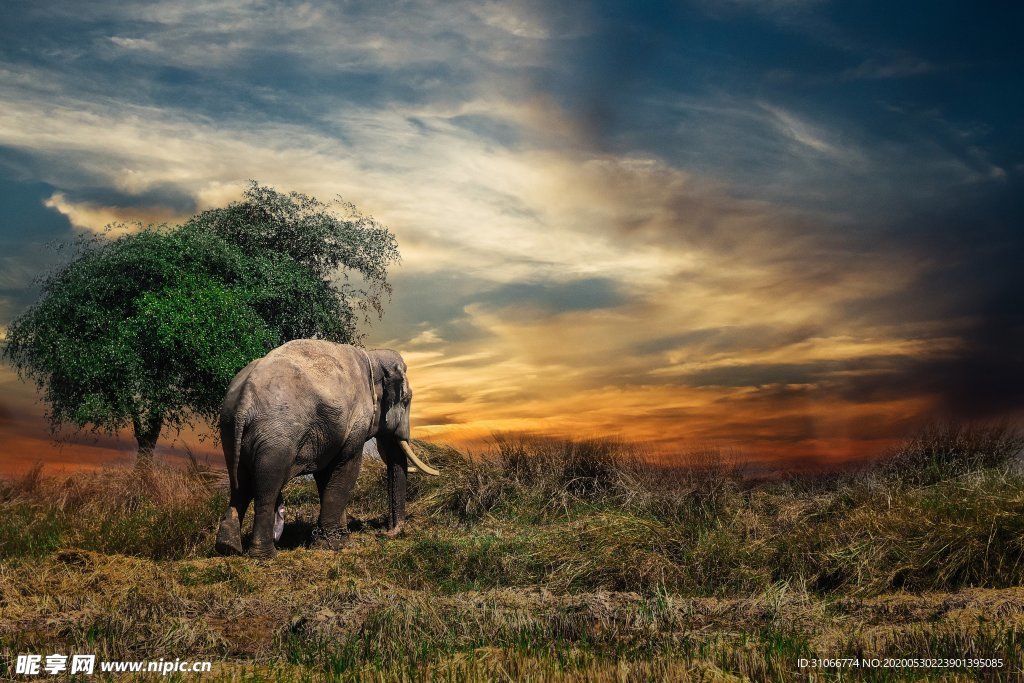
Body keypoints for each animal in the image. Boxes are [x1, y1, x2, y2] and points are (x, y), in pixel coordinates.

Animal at [214, 339, 438, 557]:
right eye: (406, 400)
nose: (385, 532)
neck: (372, 357)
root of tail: (245, 398)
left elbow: (326, 475)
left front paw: (339, 541)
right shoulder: (355, 422)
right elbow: (347, 468)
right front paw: (331, 545)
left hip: (229, 429)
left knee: (240, 484)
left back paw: (228, 548)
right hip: (276, 436)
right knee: (266, 488)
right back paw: (264, 555)